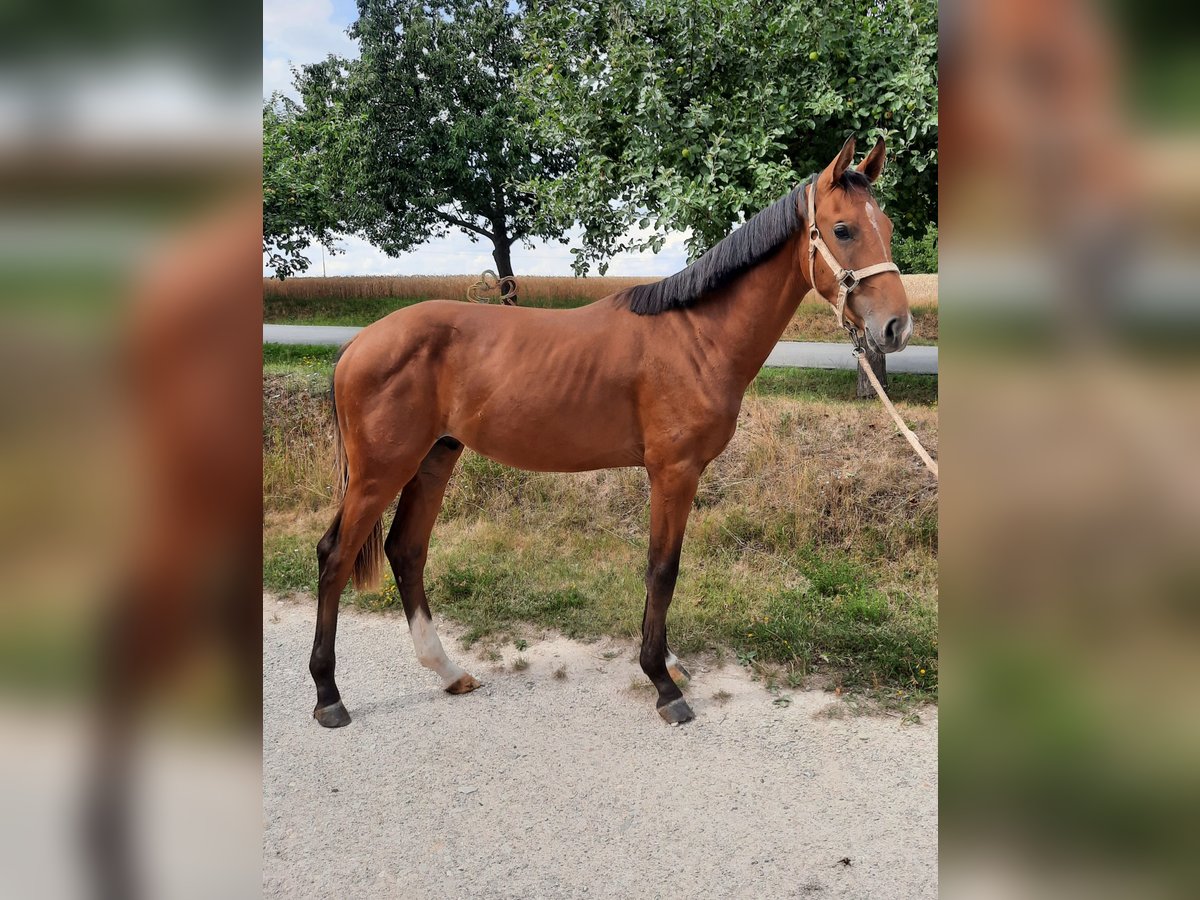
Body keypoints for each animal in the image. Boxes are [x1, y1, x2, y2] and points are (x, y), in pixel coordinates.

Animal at [310, 135, 912, 727]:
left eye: (885, 226)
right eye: (843, 229)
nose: (895, 327)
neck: (696, 337)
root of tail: (358, 344)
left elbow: (660, 571)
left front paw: (666, 661)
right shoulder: (674, 472)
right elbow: (663, 570)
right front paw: (663, 684)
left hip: (435, 458)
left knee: (406, 551)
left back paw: (448, 671)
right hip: (381, 472)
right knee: (335, 555)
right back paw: (328, 695)